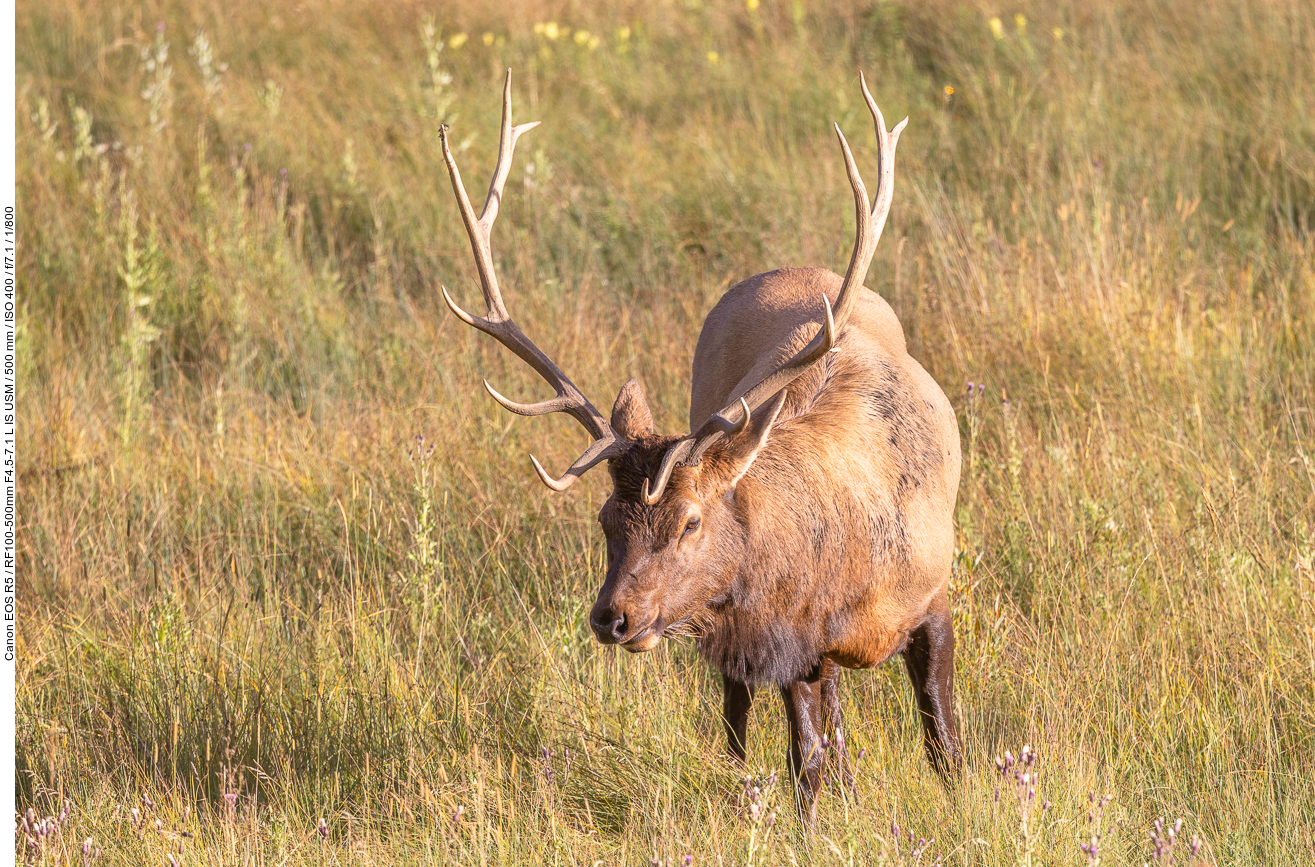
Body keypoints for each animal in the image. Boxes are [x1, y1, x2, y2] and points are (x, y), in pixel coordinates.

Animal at [436, 71, 962, 815]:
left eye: (688, 520)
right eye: (606, 520)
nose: (611, 617)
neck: (846, 577)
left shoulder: (933, 596)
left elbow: (942, 739)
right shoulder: (786, 641)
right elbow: (806, 760)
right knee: (746, 721)